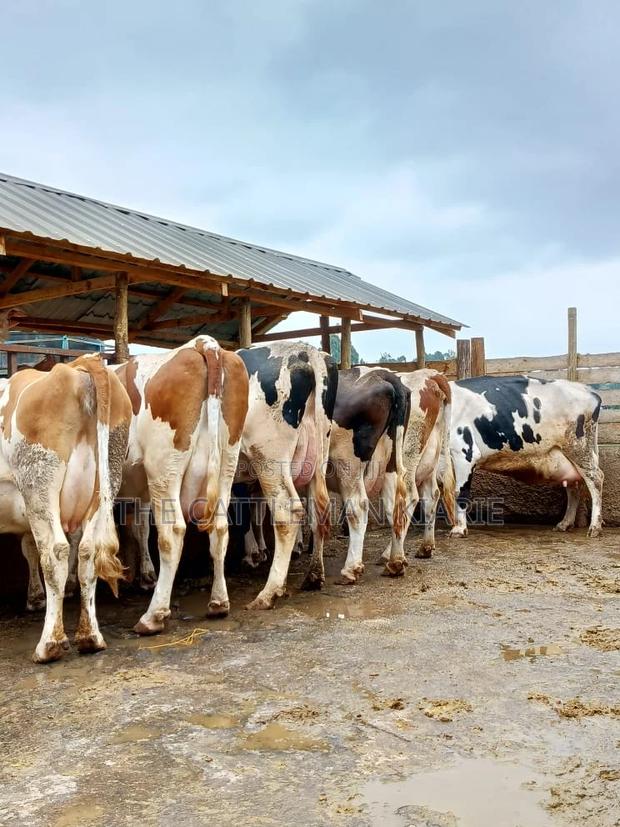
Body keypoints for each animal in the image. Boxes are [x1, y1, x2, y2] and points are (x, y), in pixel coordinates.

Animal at [0, 355, 131, 662]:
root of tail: (77, 366)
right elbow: (28, 547)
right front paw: (34, 597)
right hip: (105, 480)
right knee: (88, 551)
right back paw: (90, 637)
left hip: (39, 484)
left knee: (55, 553)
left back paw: (50, 643)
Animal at [114, 335, 249, 634]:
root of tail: (203, 344)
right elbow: (138, 529)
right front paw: (143, 575)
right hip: (226, 462)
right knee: (220, 528)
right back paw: (218, 603)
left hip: (164, 468)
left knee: (172, 533)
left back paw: (153, 616)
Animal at [235, 343, 337, 608]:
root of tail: (304, 350)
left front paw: (252, 554)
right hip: (317, 457)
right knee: (318, 510)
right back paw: (313, 575)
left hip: (268, 457)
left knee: (287, 512)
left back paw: (268, 592)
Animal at [447, 375, 604, 538]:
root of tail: (589, 391)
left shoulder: (464, 453)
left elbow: (460, 492)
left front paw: (459, 529)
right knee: (573, 485)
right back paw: (564, 524)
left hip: (579, 447)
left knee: (596, 478)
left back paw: (594, 527)